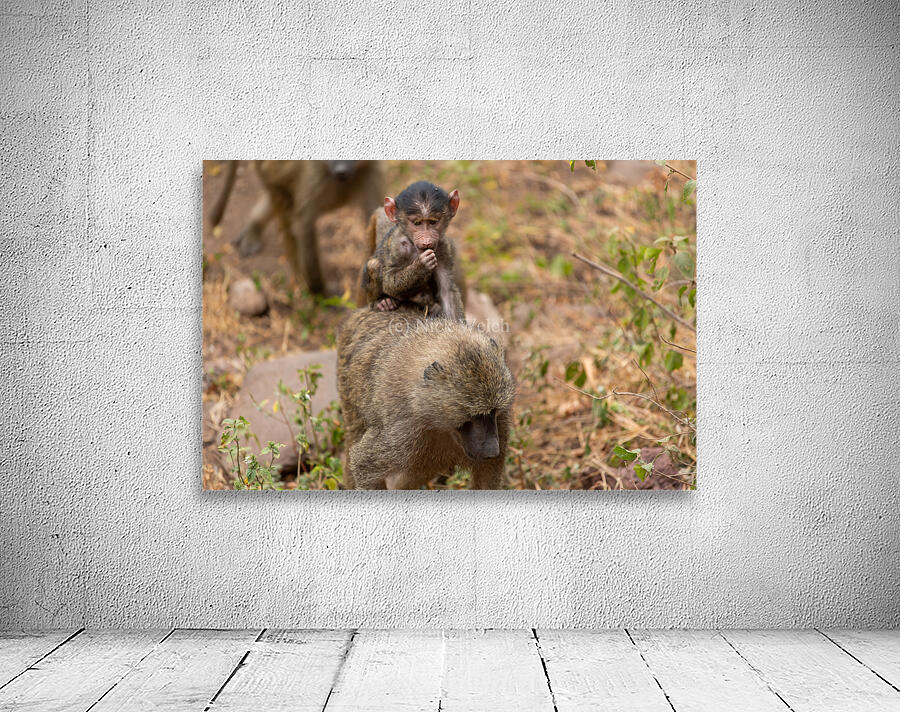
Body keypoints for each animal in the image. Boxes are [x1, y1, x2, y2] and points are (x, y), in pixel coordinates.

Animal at [209, 160, 385, 295]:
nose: (341, 171)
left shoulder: (371, 171)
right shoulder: (313, 177)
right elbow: (304, 227)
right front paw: (321, 293)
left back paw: (253, 228)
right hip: (267, 171)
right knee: (288, 214)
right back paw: (301, 280)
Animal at [336, 307, 515, 490]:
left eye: (492, 412)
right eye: (474, 417)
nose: (492, 451)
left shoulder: (500, 423)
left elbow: (487, 479)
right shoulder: (401, 434)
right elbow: (363, 466)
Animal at [357, 181, 465, 320]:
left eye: (433, 222)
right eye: (417, 223)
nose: (426, 241)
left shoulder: (443, 247)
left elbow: (447, 291)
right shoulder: (397, 246)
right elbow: (389, 282)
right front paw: (422, 265)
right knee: (373, 265)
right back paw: (381, 302)